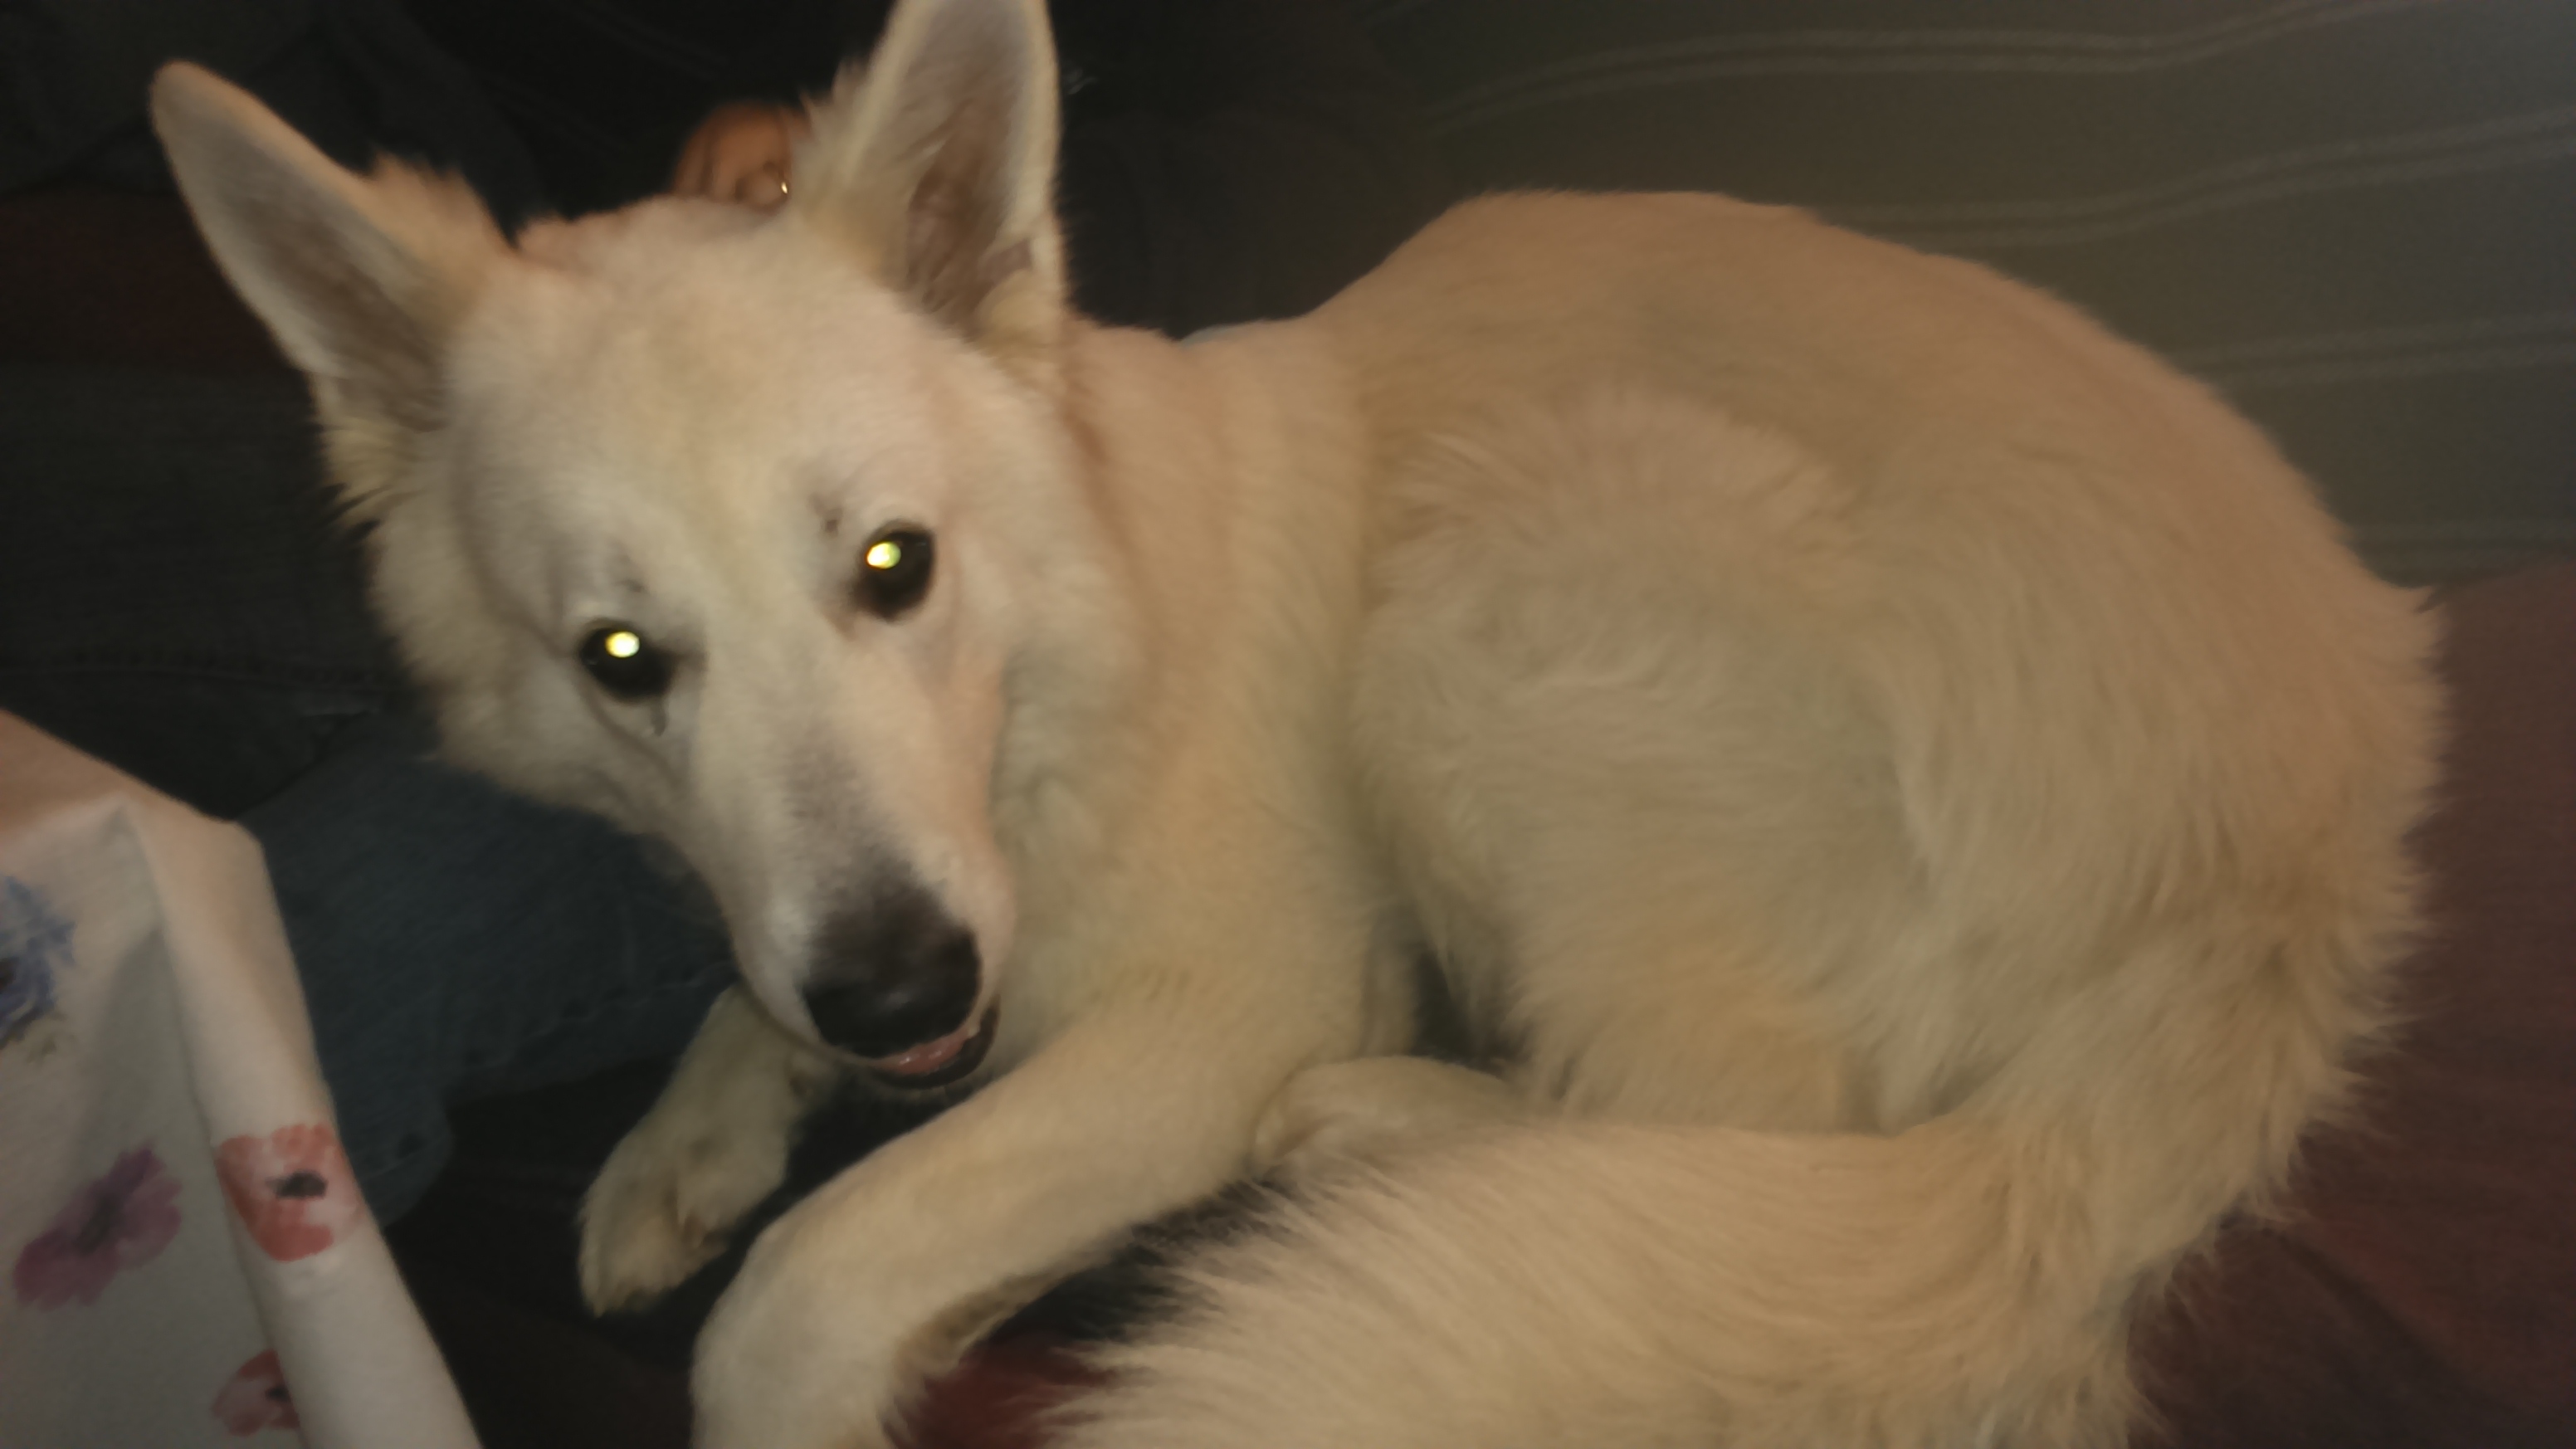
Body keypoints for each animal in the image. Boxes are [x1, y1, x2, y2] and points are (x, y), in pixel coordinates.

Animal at [150, 0, 2441, 1443]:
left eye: (893, 564)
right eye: (623, 660)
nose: (902, 1001)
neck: (1077, 653)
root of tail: (2289, 875)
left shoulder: (1217, 999)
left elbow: (806, 1292)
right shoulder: (850, 914)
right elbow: (758, 999)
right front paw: (691, 1139)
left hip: (1518, 559)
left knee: (1732, 1119)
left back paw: (1379, 1127)